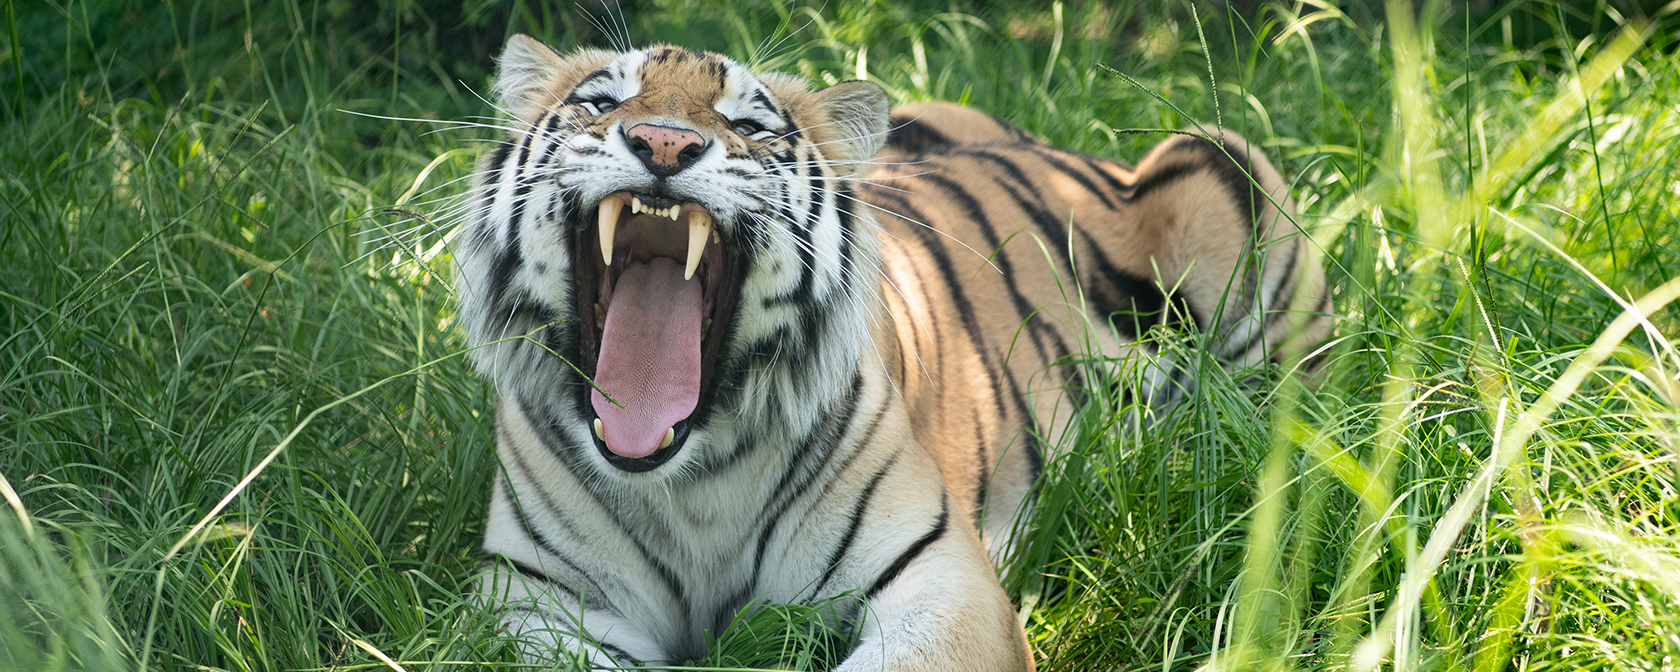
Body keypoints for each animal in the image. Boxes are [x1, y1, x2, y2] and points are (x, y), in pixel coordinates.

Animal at [453, 32, 1330, 672]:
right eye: (601, 101)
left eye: (750, 124)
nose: (664, 142)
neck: (688, 480)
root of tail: (1071, 150)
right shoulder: (543, 606)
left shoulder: (945, 584)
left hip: (1224, 163)